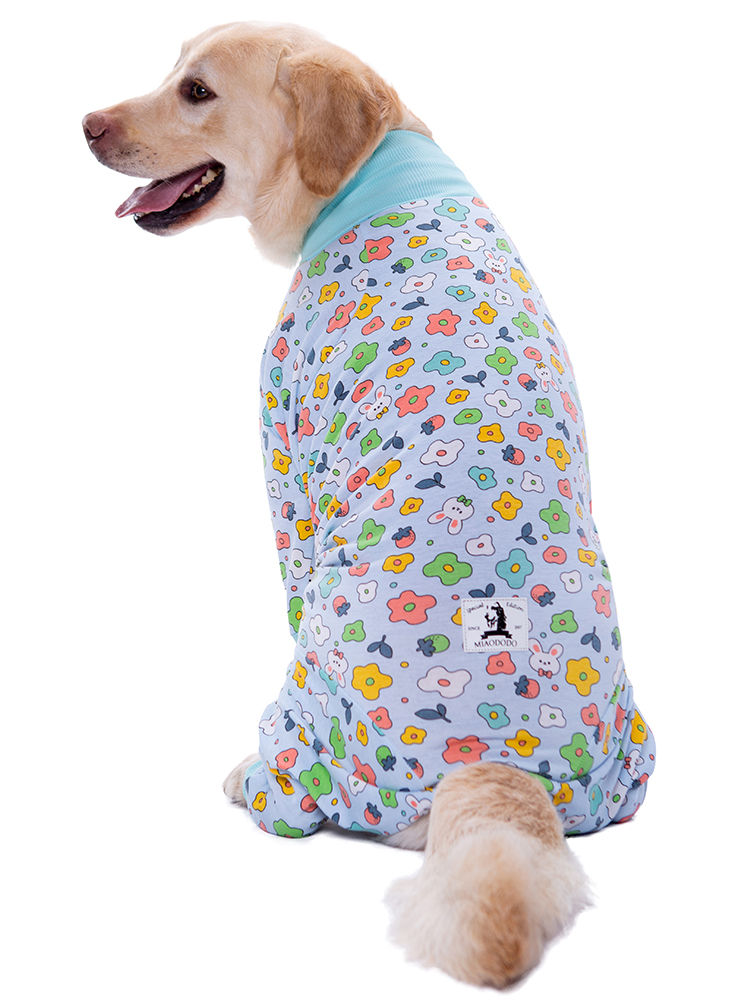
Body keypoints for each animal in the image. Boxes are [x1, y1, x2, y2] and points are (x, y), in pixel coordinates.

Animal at [83, 21, 656, 989]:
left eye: (196, 92)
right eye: (170, 72)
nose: (85, 125)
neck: (365, 176)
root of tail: (495, 765)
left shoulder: (283, 445)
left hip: (310, 701)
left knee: (293, 794)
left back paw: (248, 774)